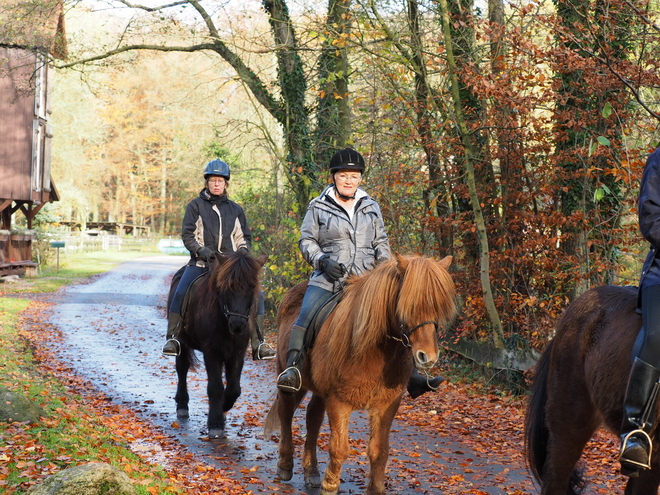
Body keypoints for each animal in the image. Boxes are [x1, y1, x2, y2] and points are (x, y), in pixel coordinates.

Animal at [169, 250, 266, 440]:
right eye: (227, 287)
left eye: (252, 287)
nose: (238, 325)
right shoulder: (211, 352)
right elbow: (215, 387)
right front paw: (215, 423)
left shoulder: (237, 353)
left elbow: (234, 388)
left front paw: (223, 408)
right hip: (182, 342)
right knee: (182, 369)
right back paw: (182, 405)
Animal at [262, 256, 454, 495]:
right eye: (408, 305)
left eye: (438, 306)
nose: (427, 356)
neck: (372, 350)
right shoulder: (338, 402)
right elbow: (339, 448)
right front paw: (330, 485)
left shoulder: (386, 404)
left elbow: (379, 450)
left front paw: (375, 489)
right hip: (291, 381)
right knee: (286, 414)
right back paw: (286, 465)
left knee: (312, 418)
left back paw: (311, 471)